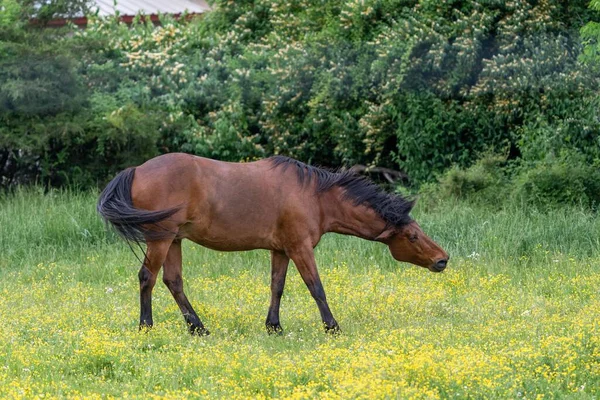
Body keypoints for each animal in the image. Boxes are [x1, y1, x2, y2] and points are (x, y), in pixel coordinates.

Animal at [96, 153, 448, 334]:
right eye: (413, 236)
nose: (442, 259)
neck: (316, 196)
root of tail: (136, 169)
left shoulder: (281, 250)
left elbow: (276, 286)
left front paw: (273, 326)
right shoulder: (300, 248)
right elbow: (316, 287)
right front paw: (332, 327)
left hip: (174, 241)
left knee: (173, 281)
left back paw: (199, 328)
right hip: (161, 238)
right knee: (148, 278)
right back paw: (147, 327)